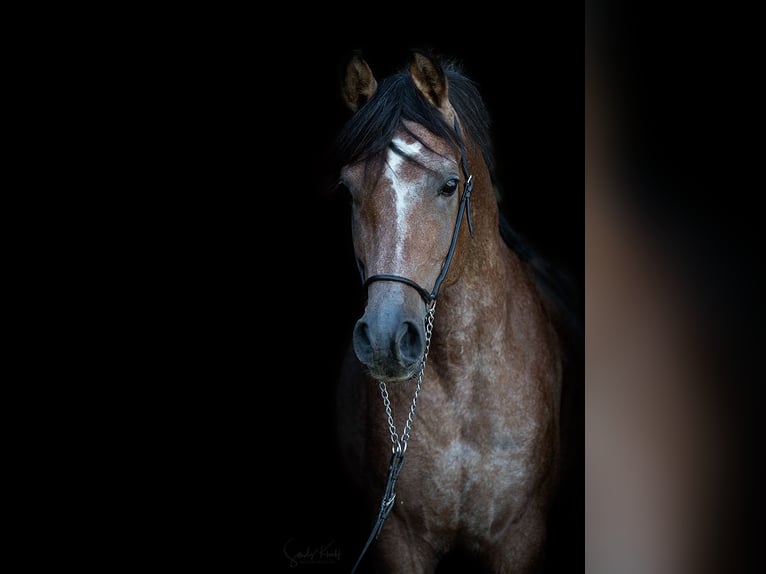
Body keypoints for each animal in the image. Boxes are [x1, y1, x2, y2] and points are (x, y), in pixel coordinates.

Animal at [335, 50, 576, 573]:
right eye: (348, 190)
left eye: (449, 185)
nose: (384, 339)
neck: (463, 376)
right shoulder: (400, 541)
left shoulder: (519, 537)